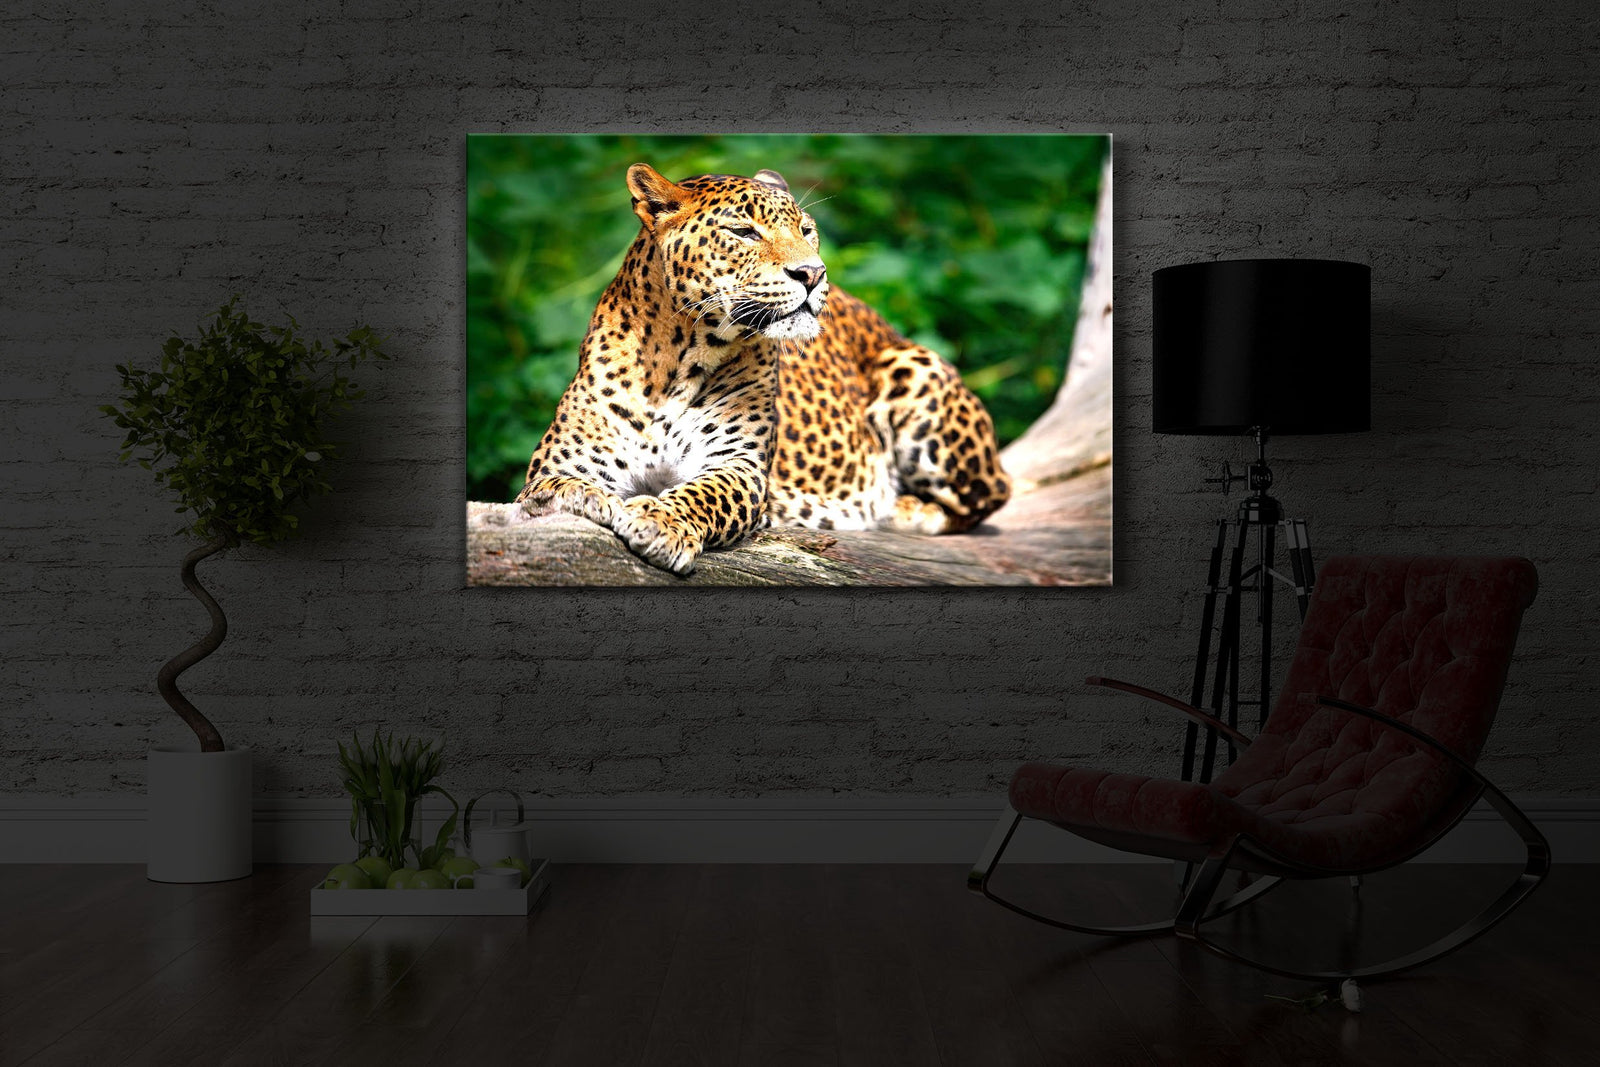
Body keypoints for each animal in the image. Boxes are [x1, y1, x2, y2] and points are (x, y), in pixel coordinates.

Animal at [515, 163, 1011, 576]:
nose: (813, 273)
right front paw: (577, 496)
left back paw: (907, 509)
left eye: (807, 230)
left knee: (991, 492)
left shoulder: (739, 464)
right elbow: (551, 485)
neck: (676, 361)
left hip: (914, 368)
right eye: (744, 232)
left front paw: (660, 521)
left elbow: (704, 494)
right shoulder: (566, 457)